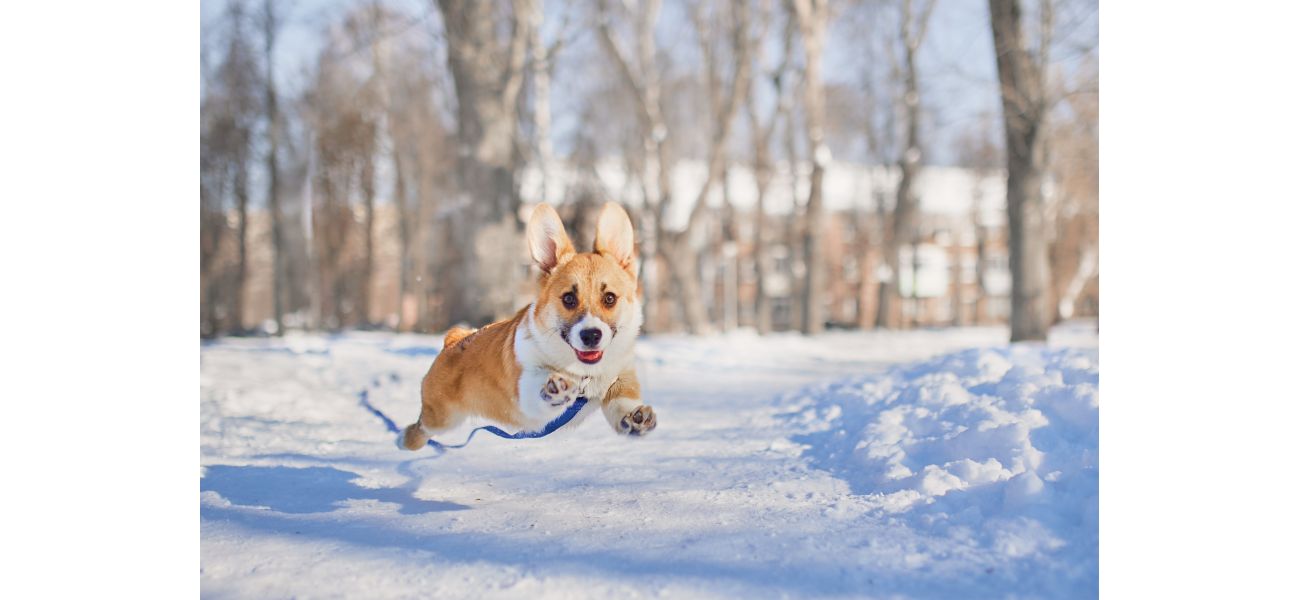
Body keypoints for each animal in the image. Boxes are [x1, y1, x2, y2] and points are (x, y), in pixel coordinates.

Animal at [397, 202, 660, 449]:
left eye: (609, 298)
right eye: (568, 298)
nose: (591, 335)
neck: (584, 374)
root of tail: (455, 339)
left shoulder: (621, 377)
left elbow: (621, 404)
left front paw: (636, 418)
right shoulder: (524, 391)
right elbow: (537, 389)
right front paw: (556, 388)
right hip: (441, 418)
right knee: (419, 430)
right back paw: (401, 440)